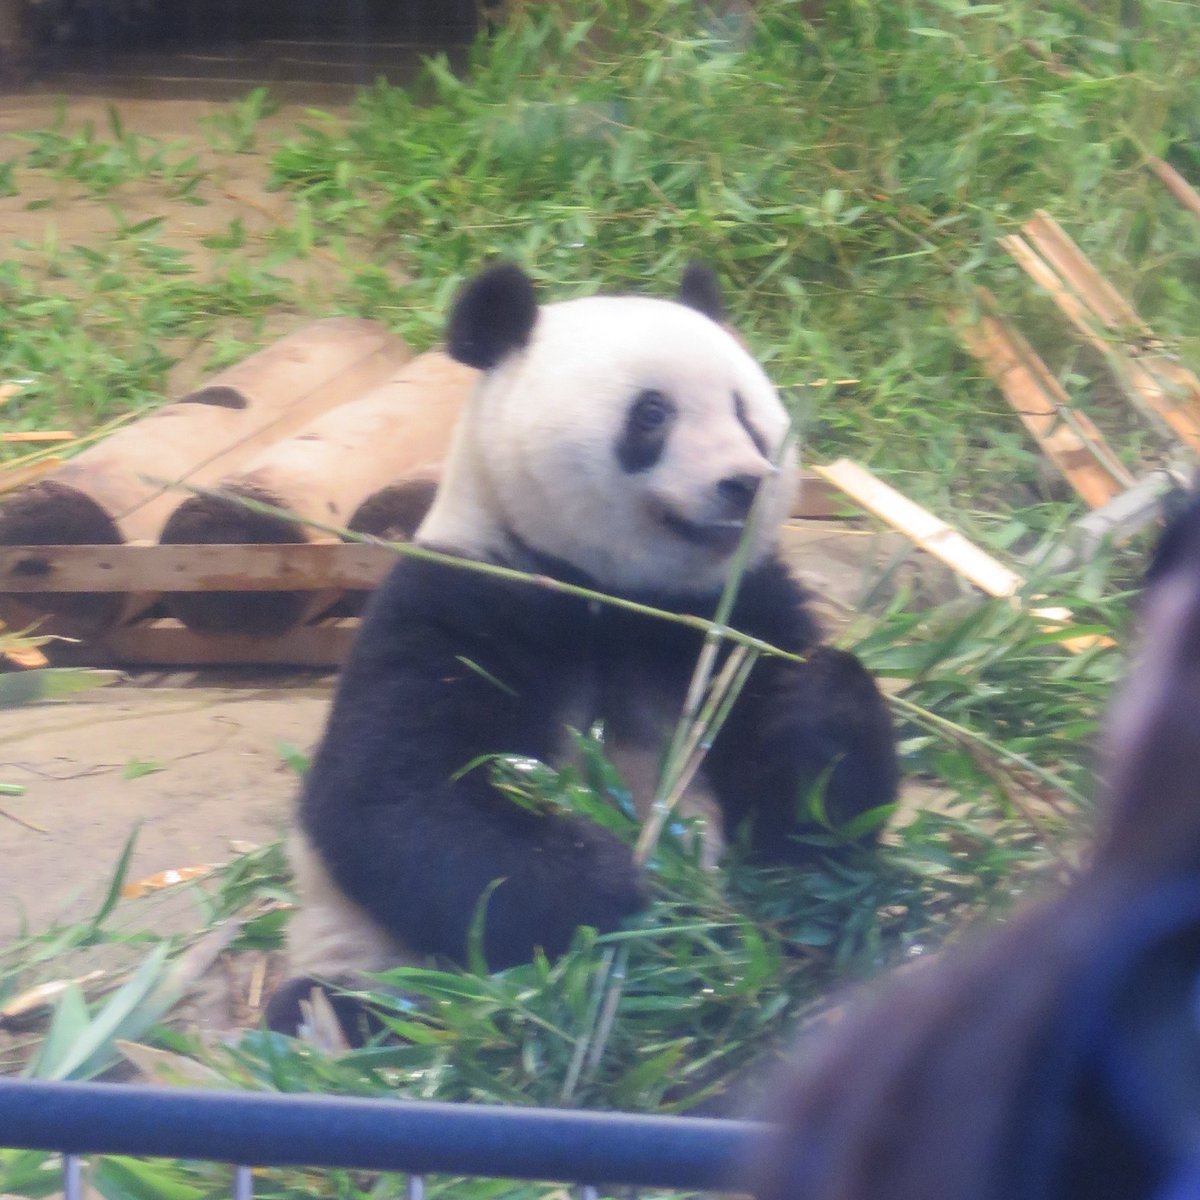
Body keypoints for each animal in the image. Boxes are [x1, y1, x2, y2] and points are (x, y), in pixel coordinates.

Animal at [265, 267, 902, 1036]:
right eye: (652, 413)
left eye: (745, 410)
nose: (744, 482)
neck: (616, 594)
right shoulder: (463, 599)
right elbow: (392, 800)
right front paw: (616, 885)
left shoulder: (736, 610)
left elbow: (812, 823)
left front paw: (815, 699)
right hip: (367, 960)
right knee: (335, 1010)